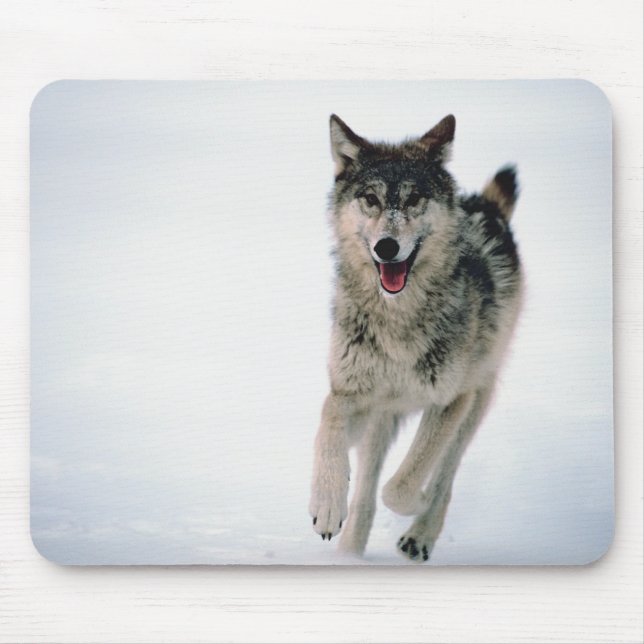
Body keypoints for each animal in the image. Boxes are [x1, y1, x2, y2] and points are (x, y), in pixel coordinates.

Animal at [309, 113, 523, 562]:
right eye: (370, 199)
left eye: (414, 200)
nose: (387, 246)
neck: (398, 320)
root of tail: (486, 205)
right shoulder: (352, 394)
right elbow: (328, 421)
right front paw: (327, 503)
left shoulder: (451, 401)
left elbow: (404, 484)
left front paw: (418, 501)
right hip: (381, 421)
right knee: (366, 492)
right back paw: (350, 555)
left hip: (475, 402)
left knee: (445, 473)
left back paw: (421, 532)